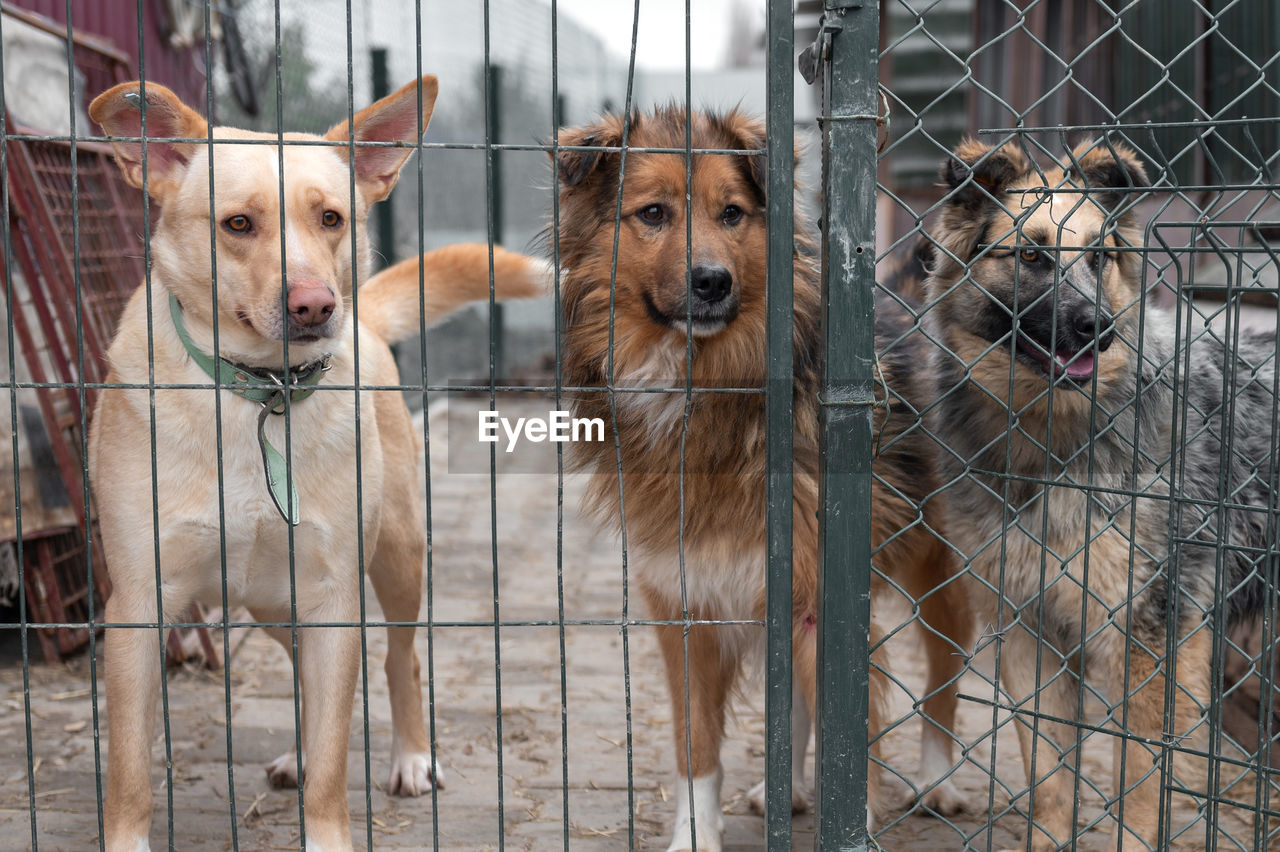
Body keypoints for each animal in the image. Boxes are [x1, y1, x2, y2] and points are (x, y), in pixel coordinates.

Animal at [87, 74, 547, 849]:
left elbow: (336, 760)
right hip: (276, 602)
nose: (316, 306)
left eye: (331, 218)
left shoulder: (334, 598)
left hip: (395, 558)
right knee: (304, 677)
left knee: (401, 658)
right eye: (238, 224)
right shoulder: (139, 606)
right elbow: (126, 770)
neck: (257, 395)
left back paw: (411, 759)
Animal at [550, 109, 967, 844]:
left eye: (732, 213)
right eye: (652, 213)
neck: (706, 392)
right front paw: (694, 835)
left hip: (945, 565)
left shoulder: (825, 595)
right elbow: (696, 743)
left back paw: (938, 779)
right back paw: (788, 791)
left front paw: (850, 816)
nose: (712, 281)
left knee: (946, 668)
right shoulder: (685, 598)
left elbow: (845, 724)